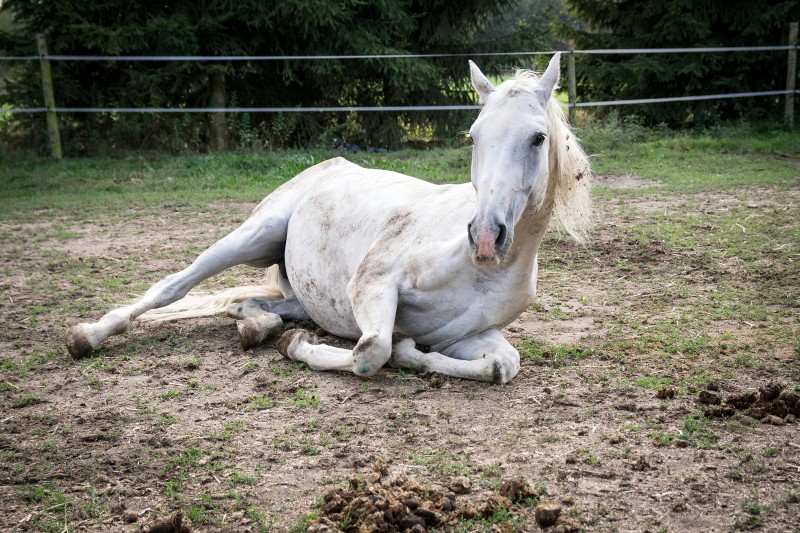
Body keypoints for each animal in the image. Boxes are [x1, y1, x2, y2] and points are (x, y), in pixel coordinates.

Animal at [64, 53, 591, 384]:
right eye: (473, 136)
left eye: (538, 138)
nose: (484, 238)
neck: (482, 271)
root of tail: (329, 164)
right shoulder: (372, 283)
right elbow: (371, 352)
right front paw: (299, 348)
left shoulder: (469, 335)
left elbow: (503, 365)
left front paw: (411, 352)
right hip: (252, 237)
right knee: (171, 287)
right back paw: (86, 336)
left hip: (300, 293)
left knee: (258, 305)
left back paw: (254, 326)